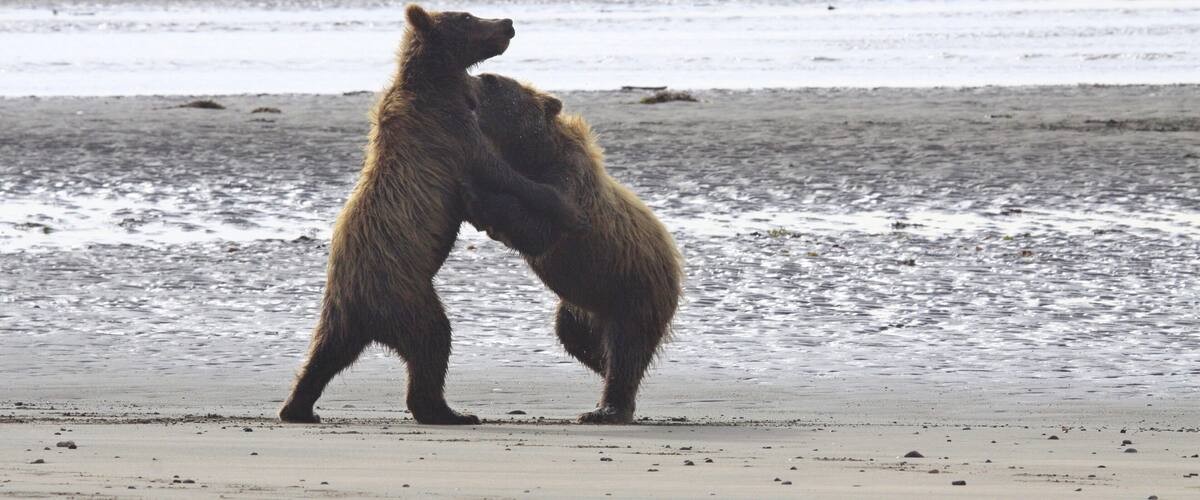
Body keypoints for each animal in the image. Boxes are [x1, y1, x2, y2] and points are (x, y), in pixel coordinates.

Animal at [279, 5, 584, 426]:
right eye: (467, 16)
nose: (507, 23)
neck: (437, 83)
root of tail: (365, 315)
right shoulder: (448, 129)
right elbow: (495, 168)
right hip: (403, 290)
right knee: (433, 340)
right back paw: (448, 411)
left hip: (339, 312)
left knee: (324, 355)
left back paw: (298, 408)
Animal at [467, 73, 683, 424]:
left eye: (492, 81)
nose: (474, 78)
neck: (531, 154)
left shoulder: (570, 182)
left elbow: (539, 231)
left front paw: (482, 197)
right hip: (582, 305)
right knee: (575, 337)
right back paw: (604, 375)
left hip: (634, 290)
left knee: (627, 348)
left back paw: (608, 408)